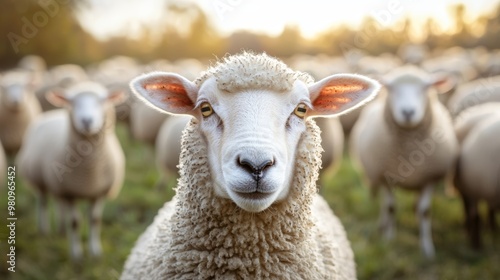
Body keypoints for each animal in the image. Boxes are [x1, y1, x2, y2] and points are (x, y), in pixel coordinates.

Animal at [16, 81, 126, 260]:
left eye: (101, 101)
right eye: (73, 102)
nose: (87, 121)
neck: (89, 172)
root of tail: (54, 112)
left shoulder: (98, 192)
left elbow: (95, 220)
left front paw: (95, 252)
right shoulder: (70, 192)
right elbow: (75, 223)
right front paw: (76, 255)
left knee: (59, 205)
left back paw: (61, 230)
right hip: (39, 179)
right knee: (43, 202)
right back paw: (44, 229)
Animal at [350, 64, 458, 260]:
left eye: (426, 87)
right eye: (391, 88)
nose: (408, 112)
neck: (409, 151)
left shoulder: (430, 178)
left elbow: (425, 212)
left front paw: (427, 248)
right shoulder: (385, 177)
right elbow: (391, 207)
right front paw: (388, 239)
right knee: (384, 206)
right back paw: (382, 225)